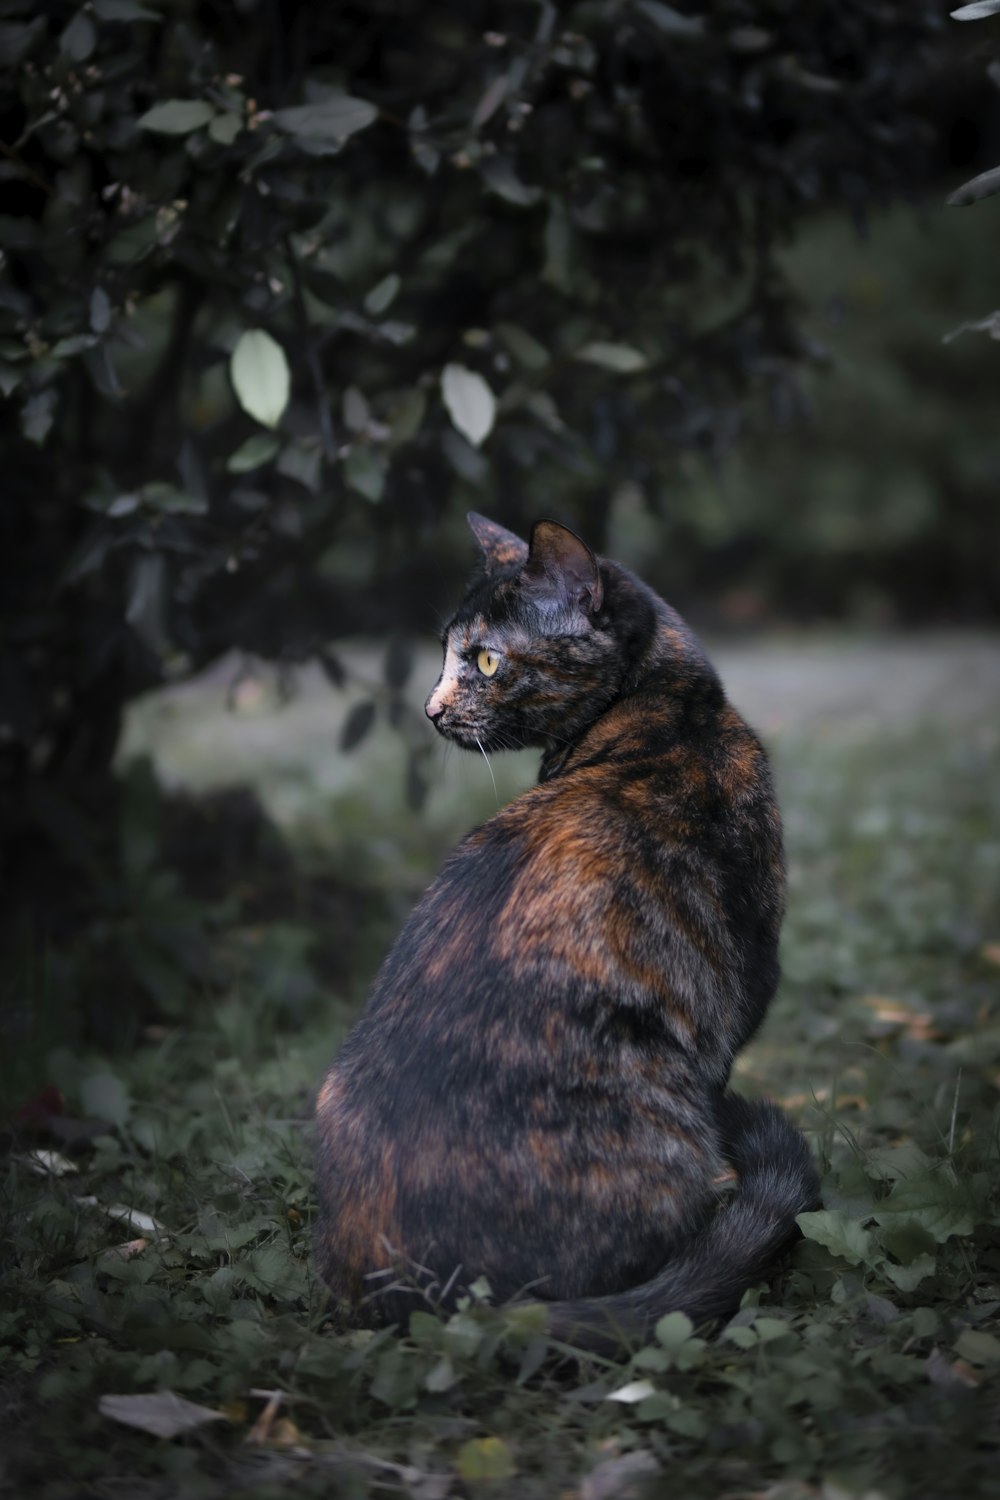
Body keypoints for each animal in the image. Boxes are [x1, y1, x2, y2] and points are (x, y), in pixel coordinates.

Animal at [314, 510, 821, 1356]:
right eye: (449, 654)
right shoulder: (745, 985)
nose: (430, 710)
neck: (669, 707)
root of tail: (434, 1300)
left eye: (486, 658)